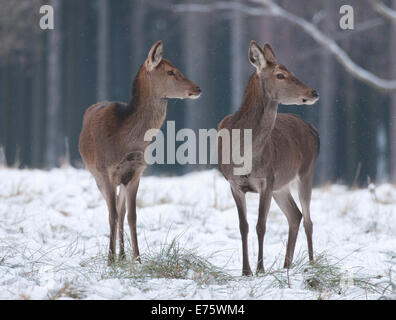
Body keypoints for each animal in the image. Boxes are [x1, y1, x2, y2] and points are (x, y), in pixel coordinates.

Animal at [78, 41, 201, 264]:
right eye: (170, 71)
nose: (197, 88)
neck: (124, 142)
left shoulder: (136, 173)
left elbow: (131, 216)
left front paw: (137, 258)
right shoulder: (105, 172)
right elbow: (112, 214)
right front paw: (109, 260)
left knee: (121, 209)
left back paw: (123, 254)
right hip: (96, 176)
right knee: (112, 209)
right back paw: (116, 255)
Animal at [218, 40, 320, 276]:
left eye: (292, 71)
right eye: (280, 75)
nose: (313, 91)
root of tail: (314, 131)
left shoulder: (266, 180)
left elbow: (260, 226)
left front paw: (260, 269)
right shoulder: (234, 184)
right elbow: (243, 226)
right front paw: (246, 271)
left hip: (306, 172)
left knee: (308, 220)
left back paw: (311, 265)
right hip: (281, 186)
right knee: (295, 215)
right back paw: (286, 265)